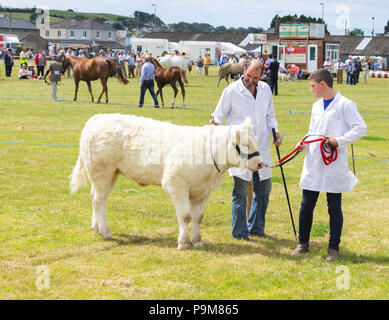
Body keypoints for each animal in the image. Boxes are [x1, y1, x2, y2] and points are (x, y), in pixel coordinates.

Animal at [71, 115, 262, 250]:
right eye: (245, 144)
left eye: (256, 141)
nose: (260, 163)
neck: (207, 153)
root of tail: (96, 119)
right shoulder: (175, 184)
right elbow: (185, 216)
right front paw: (183, 243)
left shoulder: (203, 191)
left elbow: (198, 217)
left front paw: (197, 241)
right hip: (102, 172)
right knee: (99, 200)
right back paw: (105, 231)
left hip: (110, 174)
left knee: (96, 198)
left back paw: (96, 227)